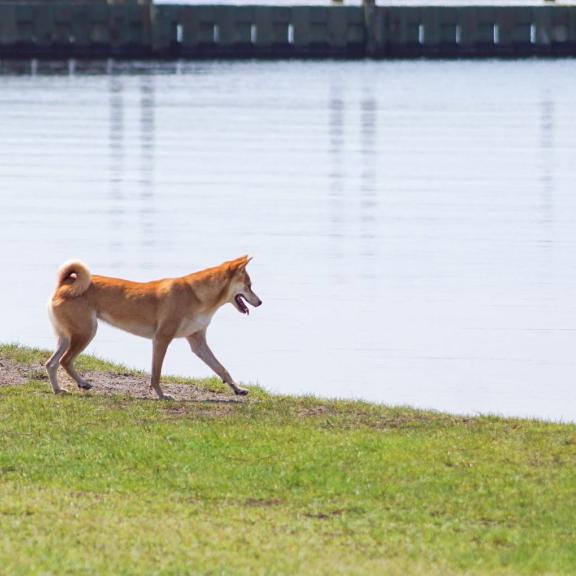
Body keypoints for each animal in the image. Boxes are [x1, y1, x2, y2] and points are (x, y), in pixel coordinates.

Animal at [46, 256, 262, 400]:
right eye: (249, 285)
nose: (260, 302)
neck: (196, 295)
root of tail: (65, 283)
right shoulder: (161, 339)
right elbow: (156, 373)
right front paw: (161, 395)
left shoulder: (198, 343)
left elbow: (221, 368)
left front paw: (237, 389)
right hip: (86, 333)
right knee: (65, 361)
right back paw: (82, 383)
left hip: (67, 338)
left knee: (51, 364)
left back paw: (58, 390)